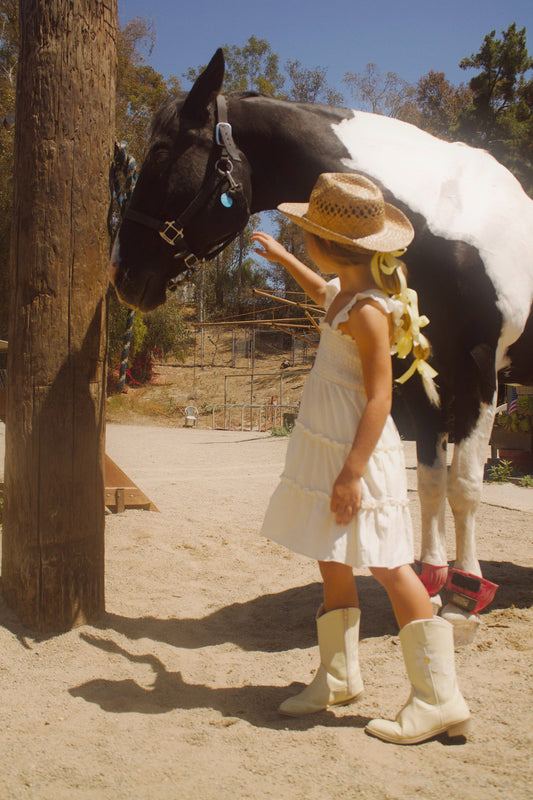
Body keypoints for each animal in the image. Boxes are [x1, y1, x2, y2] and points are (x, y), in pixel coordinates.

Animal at [110, 49, 533, 638]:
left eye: (162, 151)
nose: (122, 275)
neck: (450, 219)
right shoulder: (418, 377)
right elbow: (430, 482)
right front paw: (432, 580)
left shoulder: (477, 371)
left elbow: (465, 486)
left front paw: (464, 597)